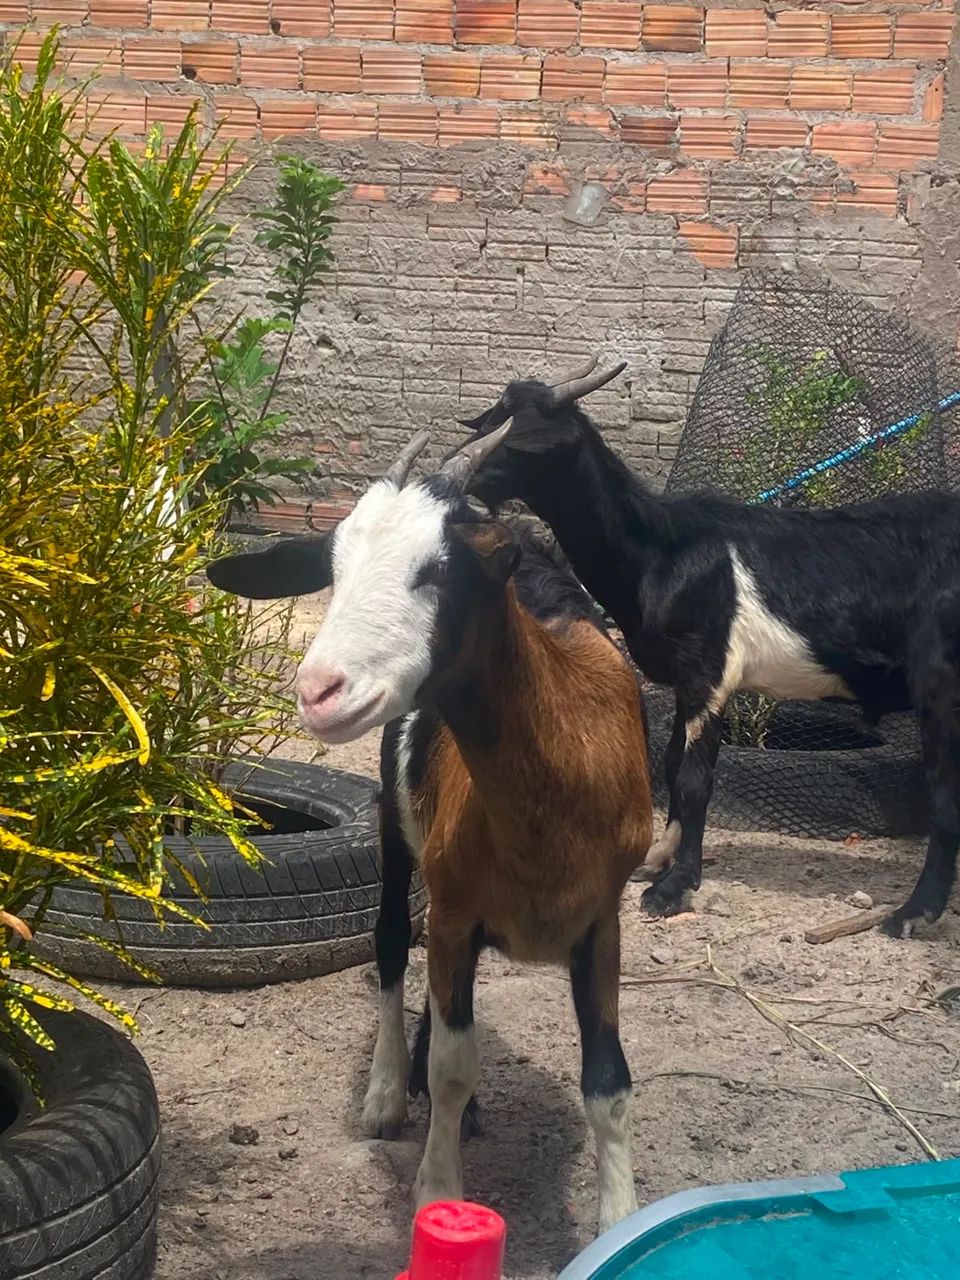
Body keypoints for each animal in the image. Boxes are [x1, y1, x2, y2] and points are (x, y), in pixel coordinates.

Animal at [206, 427, 653, 1233]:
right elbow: (452, 1064)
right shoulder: (453, 907)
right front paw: (439, 1189)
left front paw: (619, 1216)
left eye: (440, 569)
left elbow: (608, 1081)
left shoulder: (602, 918)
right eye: (333, 569)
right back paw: (387, 1093)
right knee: (389, 942)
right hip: (393, 825)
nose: (319, 692)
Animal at [455, 356, 960, 940]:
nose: (461, 476)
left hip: (940, 682)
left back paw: (913, 912)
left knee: (944, 796)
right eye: (492, 416)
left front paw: (672, 888)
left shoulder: (709, 672)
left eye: (521, 436)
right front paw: (659, 859)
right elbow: (672, 763)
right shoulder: (682, 678)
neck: (664, 550)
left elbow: (695, 778)